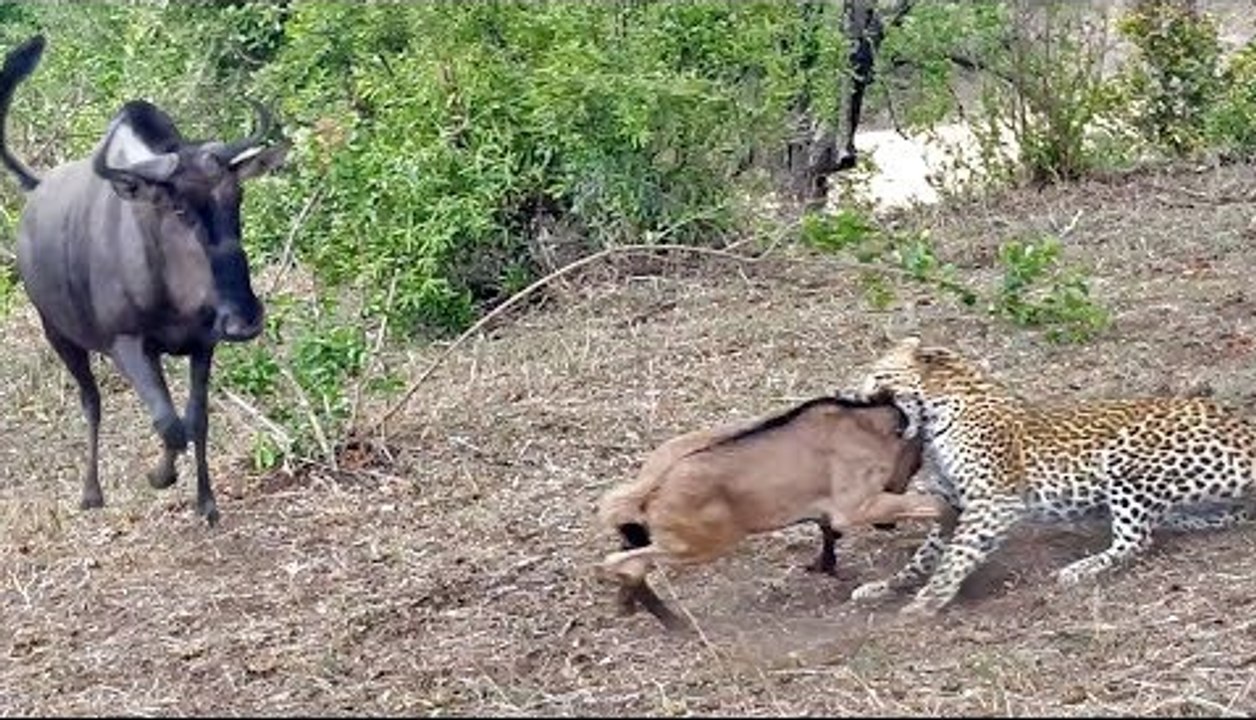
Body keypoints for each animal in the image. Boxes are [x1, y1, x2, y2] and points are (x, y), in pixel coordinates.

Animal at [0, 34, 289, 526]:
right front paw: (159, 476)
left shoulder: (203, 344)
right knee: (91, 401)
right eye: (179, 208)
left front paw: (206, 502)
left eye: (237, 197)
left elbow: (195, 420)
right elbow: (168, 423)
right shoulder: (128, 345)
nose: (244, 319)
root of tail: (36, 188)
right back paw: (90, 492)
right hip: (59, 335)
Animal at [845, 336, 1256, 617]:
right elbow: (926, 555)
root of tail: (1244, 426)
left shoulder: (994, 501)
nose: (851, 396)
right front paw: (886, 586)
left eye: (877, 377)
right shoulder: (955, 504)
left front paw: (929, 601)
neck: (934, 424)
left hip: (1124, 457)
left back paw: (1078, 569)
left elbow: (956, 554)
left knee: (1137, 541)